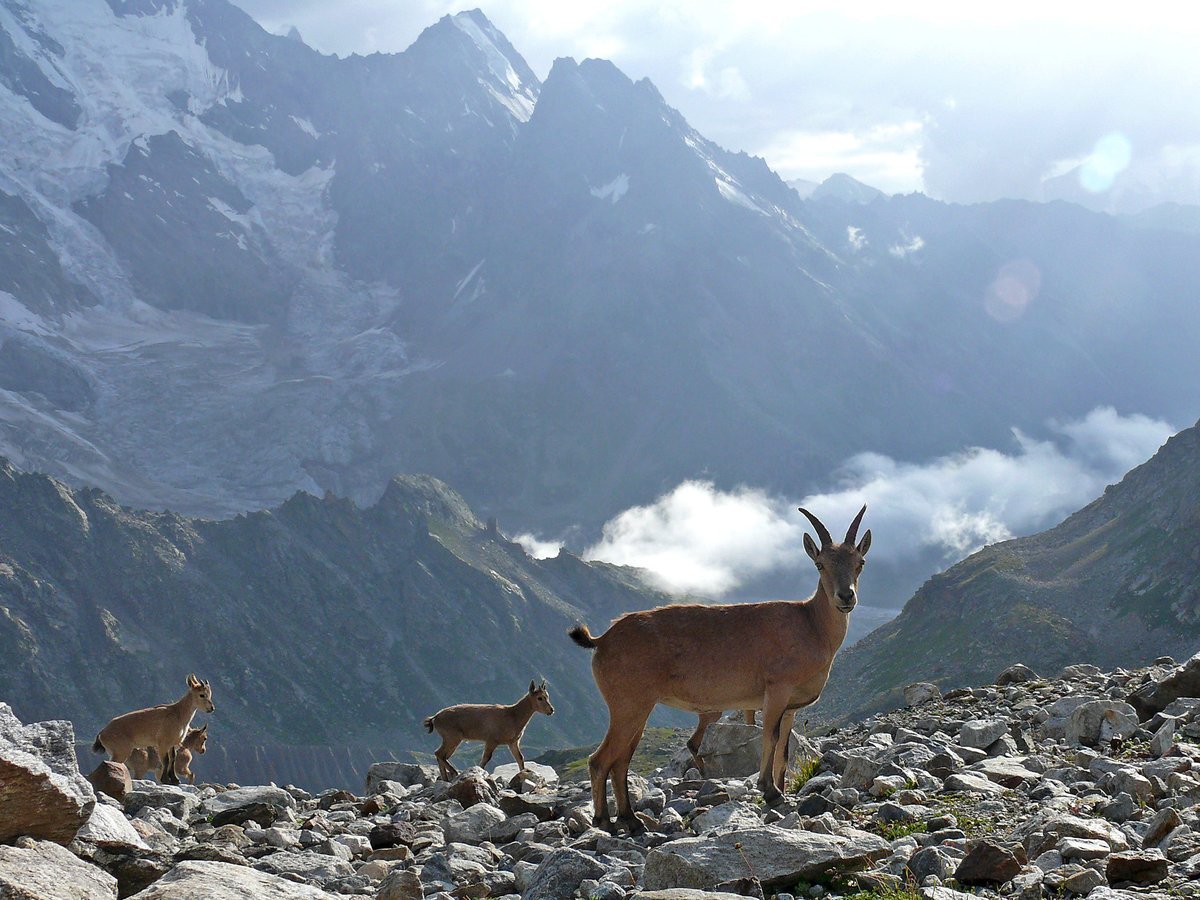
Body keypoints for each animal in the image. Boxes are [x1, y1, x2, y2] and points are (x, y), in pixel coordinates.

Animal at [571, 508, 873, 830]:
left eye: (860, 563)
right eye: (820, 564)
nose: (846, 597)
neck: (811, 625)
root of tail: (602, 640)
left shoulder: (792, 706)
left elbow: (785, 748)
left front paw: (780, 788)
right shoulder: (776, 690)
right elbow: (769, 736)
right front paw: (770, 790)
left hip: (638, 709)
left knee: (621, 760)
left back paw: (631, 819)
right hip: (628, 705)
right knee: (600, 759)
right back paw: (604, 820)